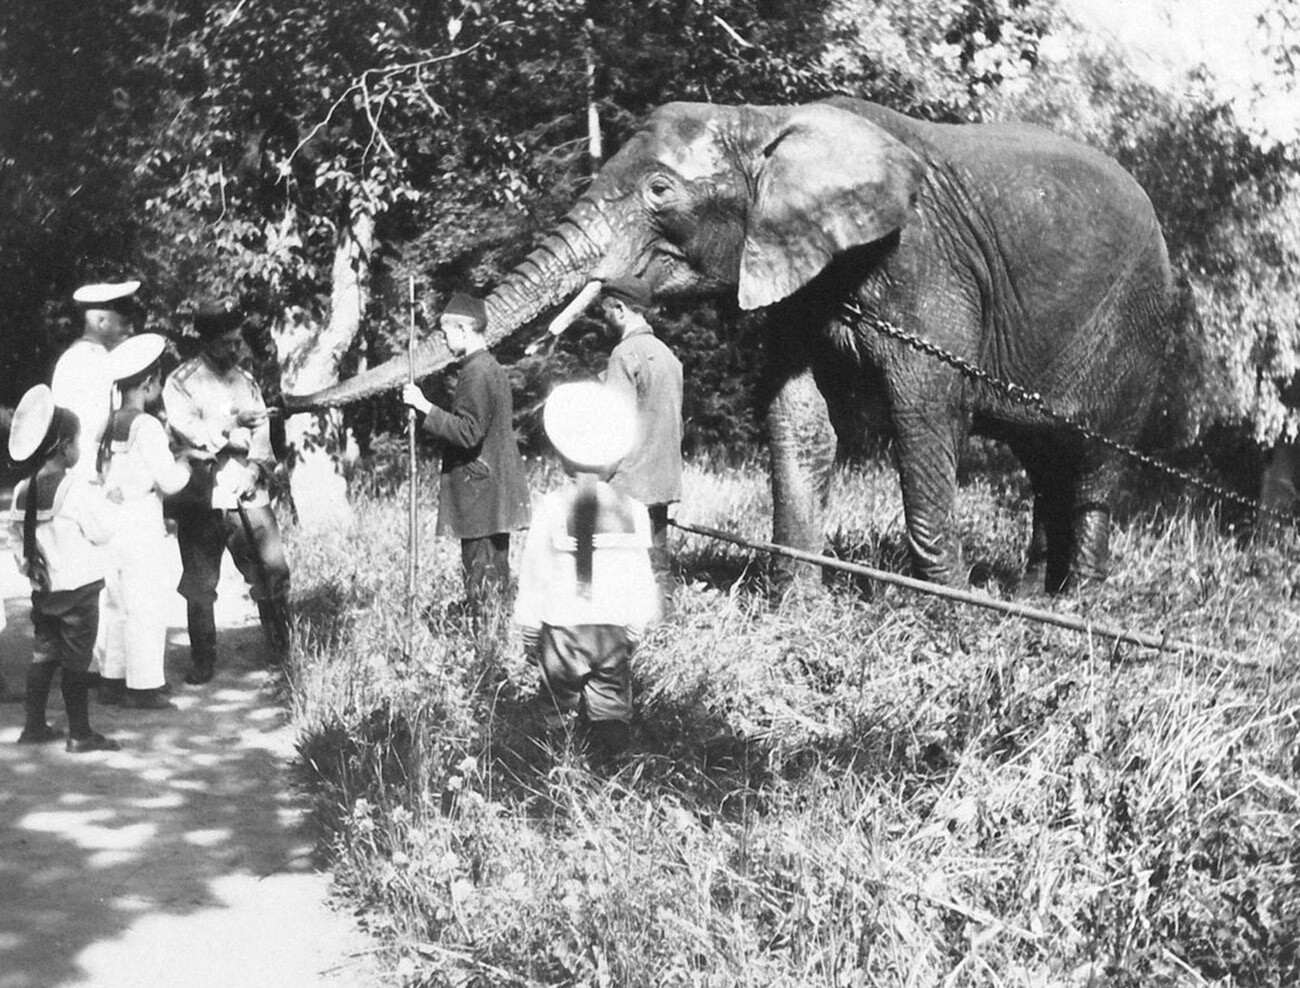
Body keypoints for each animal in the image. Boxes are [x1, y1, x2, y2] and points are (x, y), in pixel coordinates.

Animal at [292, 100, 1180, 595]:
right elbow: (797, 417)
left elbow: (925, 418)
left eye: (660, 191)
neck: (765, 121)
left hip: (1139, 326)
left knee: (1095, 467)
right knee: (1044, 462)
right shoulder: (790, 269)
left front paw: (946, 615)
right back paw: (1031, 596)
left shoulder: (924, 268)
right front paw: (800, 605)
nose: (286, 399)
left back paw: (1075, 608)